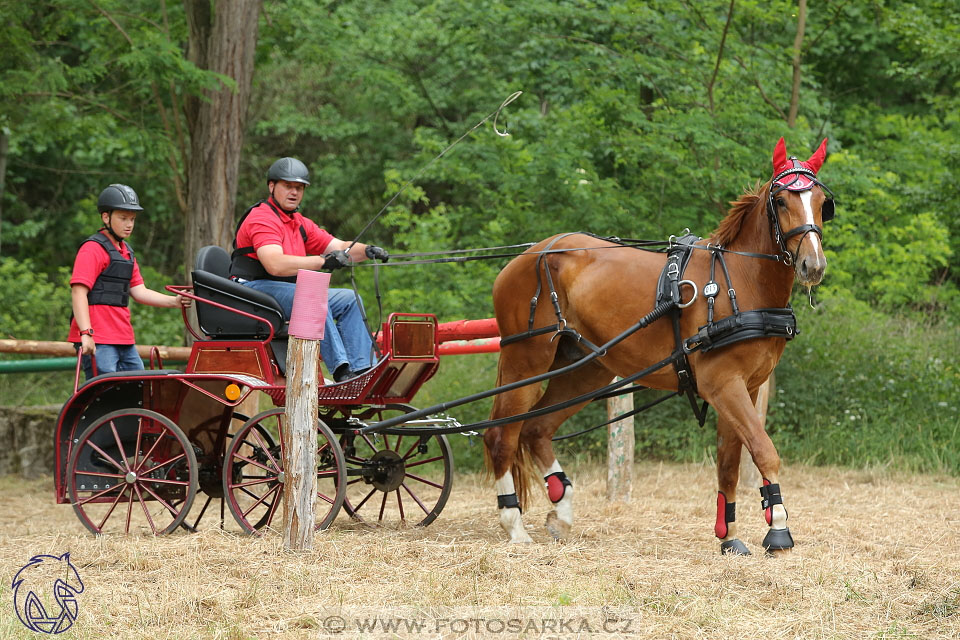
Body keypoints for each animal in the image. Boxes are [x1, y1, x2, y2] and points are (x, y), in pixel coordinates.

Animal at [488, 139, 832, 556]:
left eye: (822, 202)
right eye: (781, 200)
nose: (813, 265)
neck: (739, 280)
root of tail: (528, 256)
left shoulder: (744, 387)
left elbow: (729, 463)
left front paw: (729, 536)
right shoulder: (723, 384)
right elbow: (764, 450)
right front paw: (778, 527)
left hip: (585, 369)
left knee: (536, 429)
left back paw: (562, 512)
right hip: (525, 361)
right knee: (501, 436)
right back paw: (514, 525)